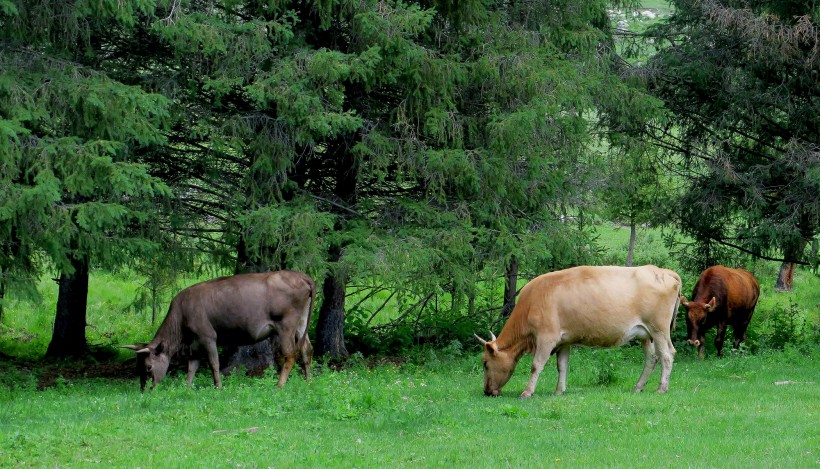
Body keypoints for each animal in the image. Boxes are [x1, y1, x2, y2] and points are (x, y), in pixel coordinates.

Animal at [122, 268, 314, 390]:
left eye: (148, 367)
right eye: (138, 366)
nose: (144, 389)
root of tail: (302, 276)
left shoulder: (208, 336)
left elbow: (214, 363)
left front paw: (218, 386)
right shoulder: (194, 345)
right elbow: (192, 367)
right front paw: (187, 388)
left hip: (286, 326)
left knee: (290, 355)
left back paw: (279, 385)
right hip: (301, 323)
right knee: (307, 350)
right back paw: (308, 381)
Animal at [474, 266, 680, 396]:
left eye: (485, 363)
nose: (486, 391)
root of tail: (664, 271)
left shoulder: (546, 338)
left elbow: (536, 365)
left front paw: (527, 392)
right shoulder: (564, 341)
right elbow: (562, 365)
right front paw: (559, 391)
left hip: (659, 330)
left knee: (667, 355)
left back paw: (662, 388)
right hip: (646, 334)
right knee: (651, 358)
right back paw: (638, 387)